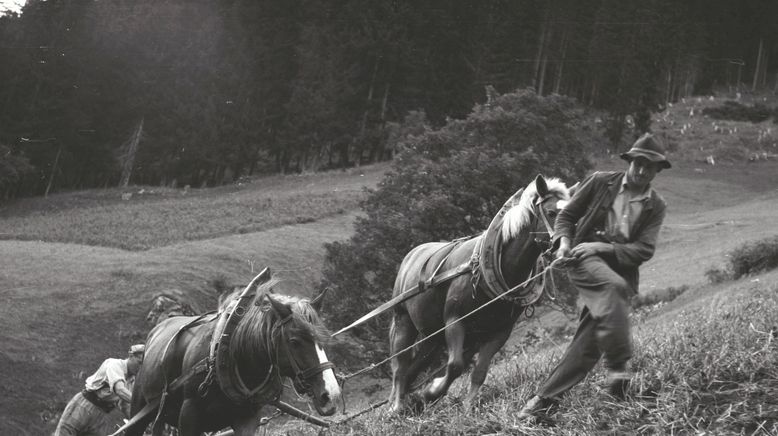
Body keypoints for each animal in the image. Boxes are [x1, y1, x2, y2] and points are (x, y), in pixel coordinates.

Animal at [127, 274, 340, 434]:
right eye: (294, 341)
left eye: (323, 338)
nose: (331, 395)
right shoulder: (188, 414)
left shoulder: (247, 418)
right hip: (138, 409)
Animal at [386, 175, 564, 412]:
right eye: (552, 212)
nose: (565, 243)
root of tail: (411, 255)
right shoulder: (455, 320)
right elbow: (455, 366)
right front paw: (432, 392)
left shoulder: (499, 331)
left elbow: (479, 371)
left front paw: (467, 406)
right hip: (403, 320)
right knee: (400, 366)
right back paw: (396, 406)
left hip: (433, 336)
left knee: (415, 366)